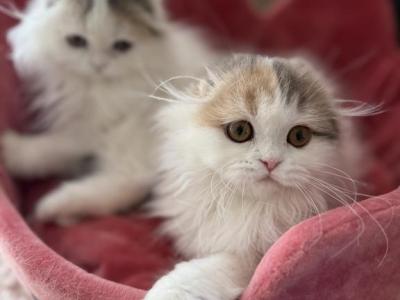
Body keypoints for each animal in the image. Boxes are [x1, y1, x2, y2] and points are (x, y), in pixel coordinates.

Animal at [0, 0, 214, 223]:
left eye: (121, 46)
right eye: (77, 41)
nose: (98, 65)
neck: (95, 88)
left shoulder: (94, 128)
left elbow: (54, 144)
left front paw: (13, 150)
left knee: (131, 180)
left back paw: (52, 205)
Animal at [145, 55, 370, 298]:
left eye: (299, 136)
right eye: (240, 131)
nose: (270, 162)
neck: (256, 210)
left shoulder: (251, 257)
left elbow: (196, 274)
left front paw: (167, 291)